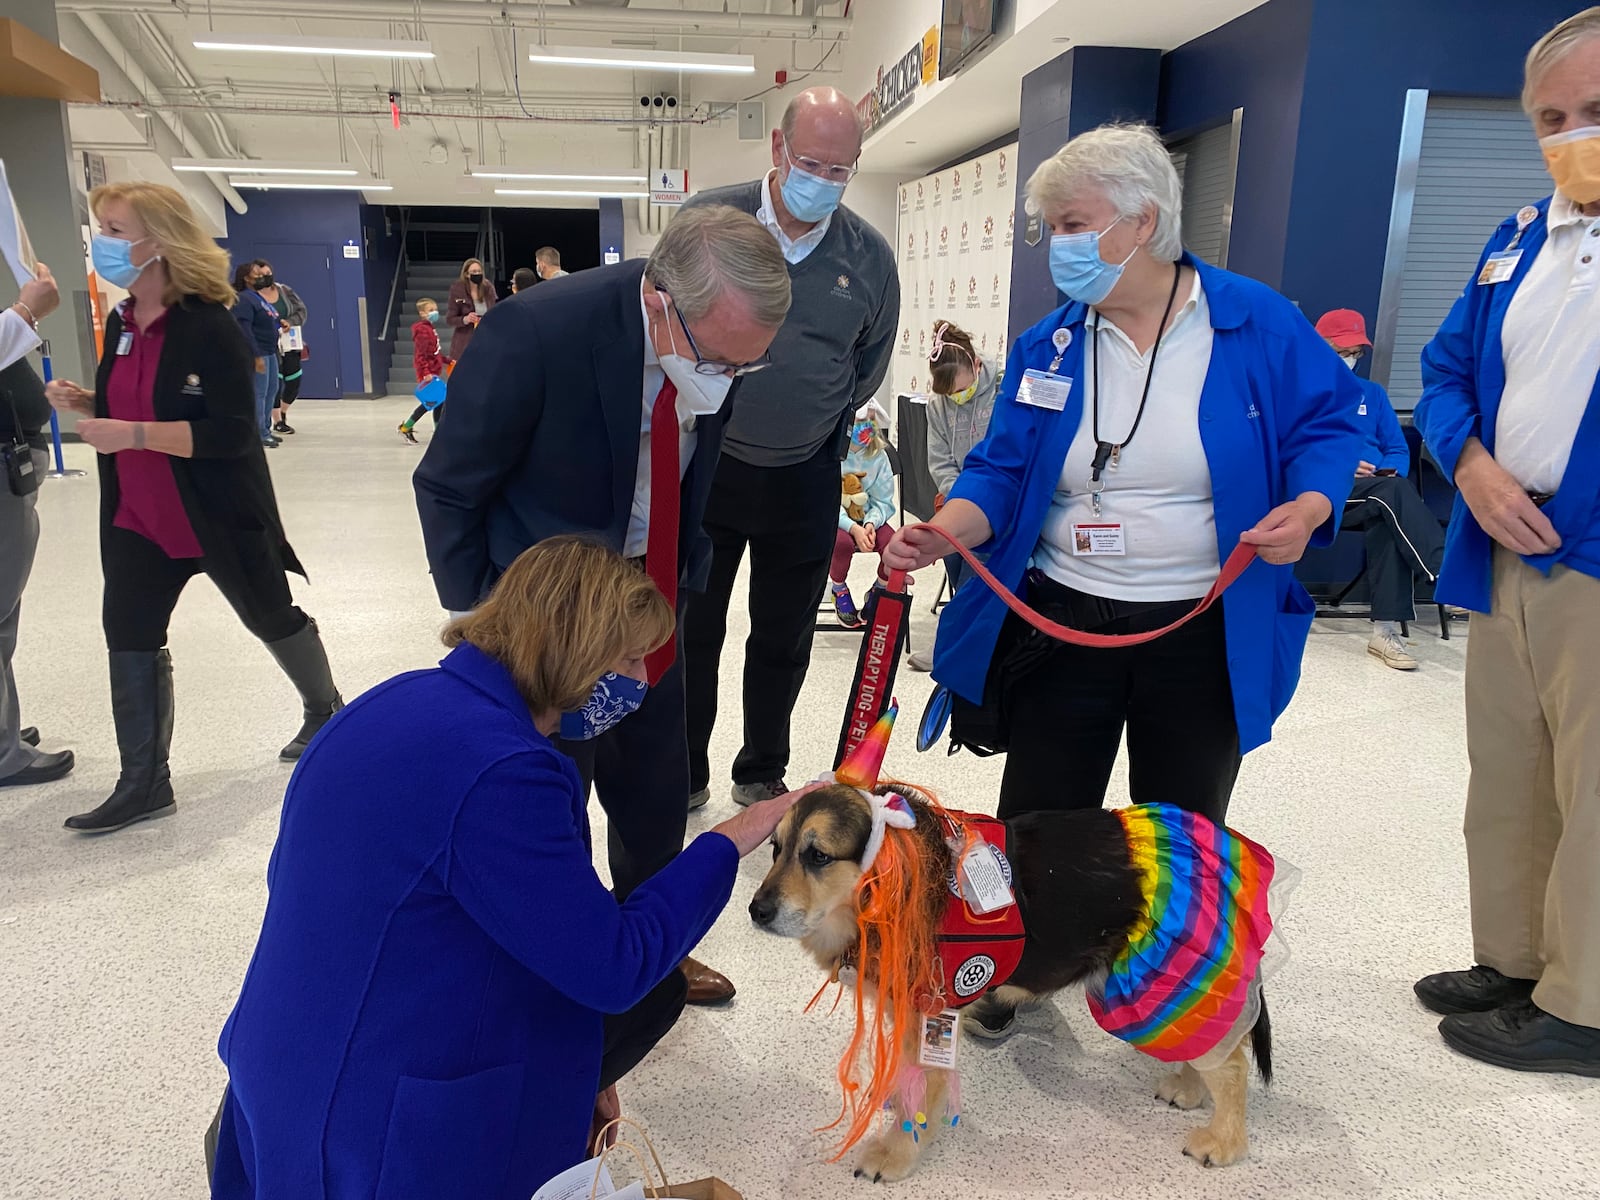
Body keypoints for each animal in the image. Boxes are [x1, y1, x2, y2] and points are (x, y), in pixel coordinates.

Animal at [745, 780, 1286, 1184]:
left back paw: (1224, 1141)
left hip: (1154, 982)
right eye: (776, 849)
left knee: (1233, 1063)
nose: (756, 910)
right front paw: (901, 1102)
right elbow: (908, 1077)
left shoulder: (931, 1015)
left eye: (817, 856)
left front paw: (897, 1152)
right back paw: (1192, 1088)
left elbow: (922, 1093)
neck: (899, 879)